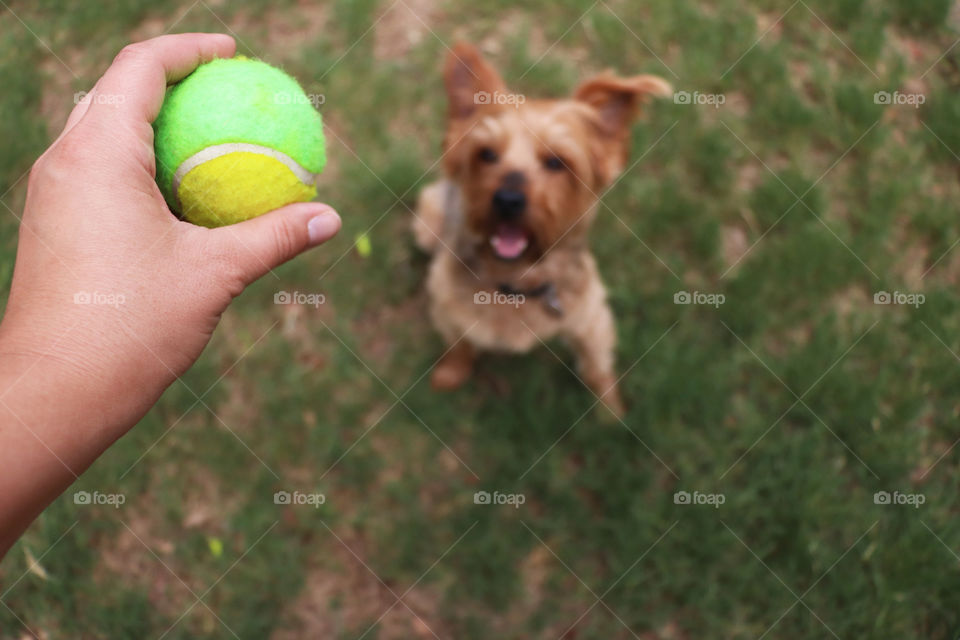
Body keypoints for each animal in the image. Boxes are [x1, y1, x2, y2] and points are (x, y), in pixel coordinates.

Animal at [410, 42, 668, 418]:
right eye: (486, 154)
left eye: (557, 162)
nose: (507, 199)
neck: (517, 282)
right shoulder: (448, 307)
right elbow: (459, 346)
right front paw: (450, 374)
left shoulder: (591, 317)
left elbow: (596, 364)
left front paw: (611, 411)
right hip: (429, 220)